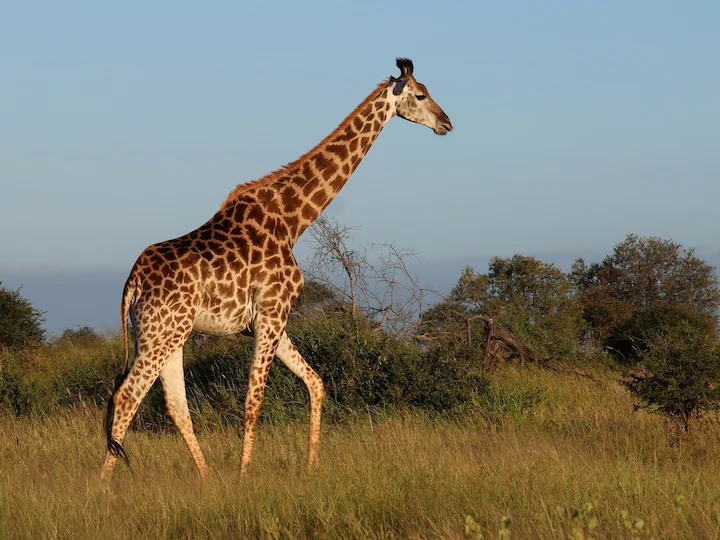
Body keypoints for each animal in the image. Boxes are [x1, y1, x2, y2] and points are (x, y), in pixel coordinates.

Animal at [101, 57, 452, 481]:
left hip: (169, 335)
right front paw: (244, 476)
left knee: (173, 406)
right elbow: (253, 401)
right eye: (421, 94)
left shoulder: (271, 321)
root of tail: (133, 281)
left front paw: (311, 466)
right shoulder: (271, 314)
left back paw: (206, 479)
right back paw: (102, 487)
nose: (447, 122)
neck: (293, 221)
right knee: (126, 397)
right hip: (160, 334)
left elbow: (315, 382)